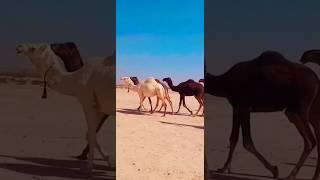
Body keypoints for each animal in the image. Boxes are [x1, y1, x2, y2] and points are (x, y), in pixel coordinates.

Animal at [16, 41, 115, 176]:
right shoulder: (101, 108)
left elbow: (91, 135)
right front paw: (111, 163)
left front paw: (88, 169)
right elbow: (90, 134)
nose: (19, 47)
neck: (77, 78)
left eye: (32, 48)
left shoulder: (88, 101)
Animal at [205, 51, 320, 180]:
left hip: (300, 109)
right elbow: (233, 138)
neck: (225, 81)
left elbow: (247, 142)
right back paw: (310, 176)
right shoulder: (236, 107)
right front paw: (224, 168)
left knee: (310, 141)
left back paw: (291, 175)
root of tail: (316, 79)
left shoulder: (244, 106)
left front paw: (274, 170)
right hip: (308, 110)